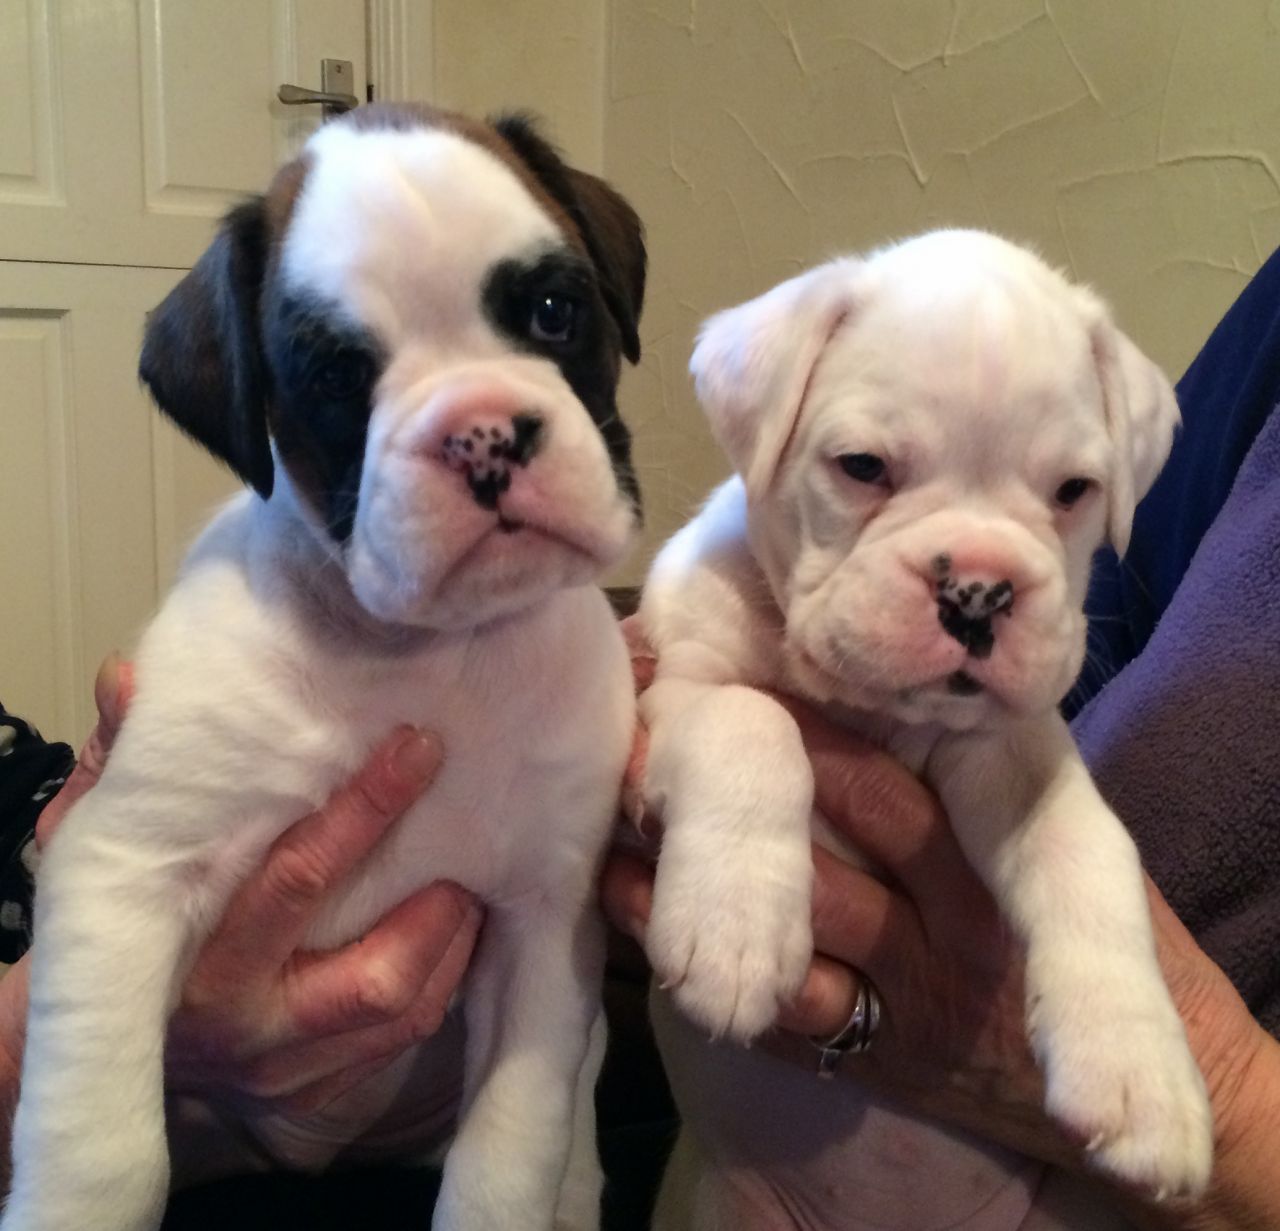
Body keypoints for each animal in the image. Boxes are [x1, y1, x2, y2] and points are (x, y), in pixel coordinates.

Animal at [7, 105, 650, 1228]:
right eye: (339, 378)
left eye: (554, 309)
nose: (483, 432)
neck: (424, 653)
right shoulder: (124, 866)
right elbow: (99, 1146)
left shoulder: (542, 931)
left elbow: (508, 1155)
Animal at [645, 230, 1213, 1218]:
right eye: (863, 467)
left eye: (1075, 489)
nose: (979, 589)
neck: (864, 703)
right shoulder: (668, 696)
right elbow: (750, 718)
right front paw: (733, 928)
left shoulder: (1011, 757)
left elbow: (1086, 853)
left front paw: (1139, 1067)